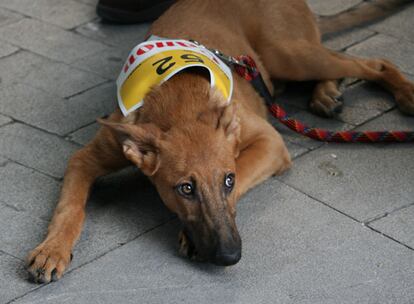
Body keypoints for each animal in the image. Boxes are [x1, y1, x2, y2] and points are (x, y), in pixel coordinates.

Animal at [26, 0, 414, 282]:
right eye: (185, 189)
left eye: (228, 180)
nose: (231, 257)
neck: (177, 99)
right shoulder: (86, 158)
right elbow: (70, 207)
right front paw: (52, 249)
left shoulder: (269, 142)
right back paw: (326, 94)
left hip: (289, 54)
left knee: (373, 62)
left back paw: (403, 93)